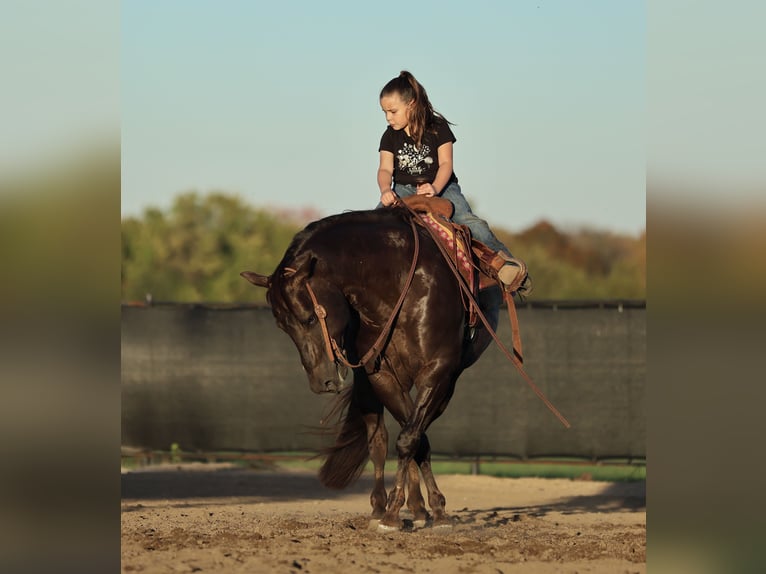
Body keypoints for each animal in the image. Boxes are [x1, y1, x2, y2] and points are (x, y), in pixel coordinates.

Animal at [241, 205, 504, 531]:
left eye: (310, 318)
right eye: (282, 326)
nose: (321, 382)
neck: (403, 285)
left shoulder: (438, 372)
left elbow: (411, 438)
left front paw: (429, 510)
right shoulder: (380, 376)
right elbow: (402, 439)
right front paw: (394, 510)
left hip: (445, 384)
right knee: (382, 438)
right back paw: (401, 506)